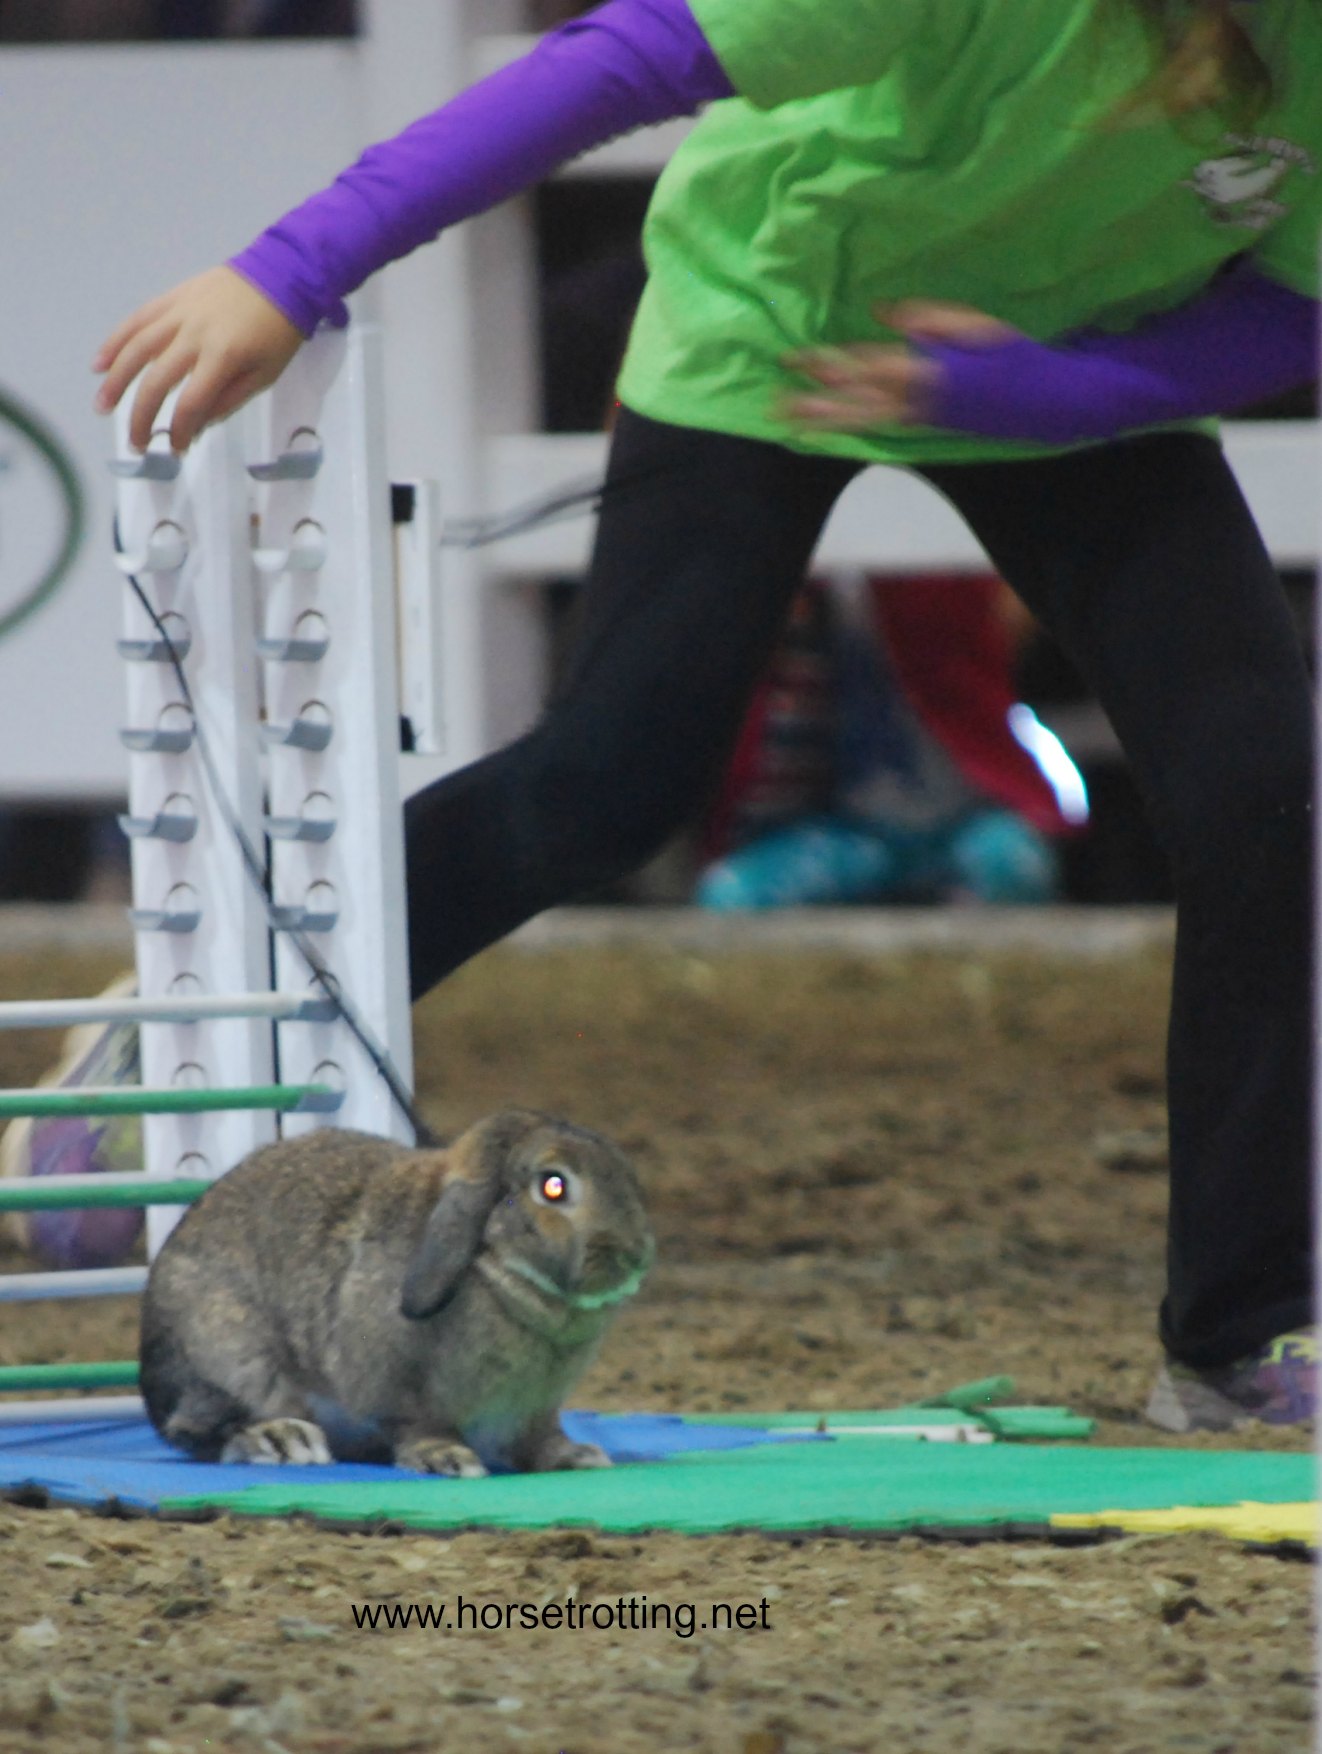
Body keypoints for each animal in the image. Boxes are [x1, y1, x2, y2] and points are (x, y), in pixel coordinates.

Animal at [138, 1108, 654, 1477]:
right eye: (553, 1186)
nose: (635, 1255)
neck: (496, 1264)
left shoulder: (533, 1408)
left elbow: (538, 1440)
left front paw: (576, 1457)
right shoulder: (399, 1387)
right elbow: (418, 1423)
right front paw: (446, 1458)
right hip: (229, 1354)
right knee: (199, 1429)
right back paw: (283, 1440)